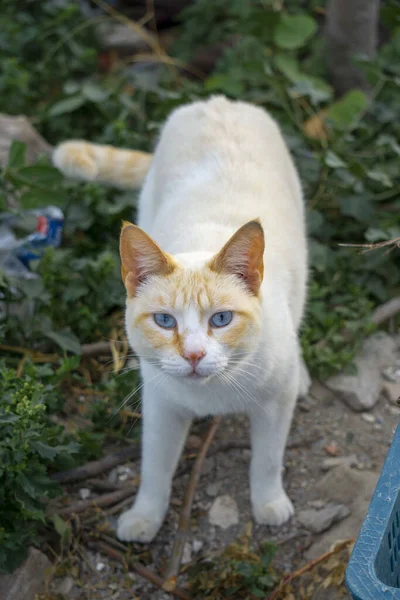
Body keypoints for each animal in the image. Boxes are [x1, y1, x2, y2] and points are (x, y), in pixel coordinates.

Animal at [53, 95, 310, 544]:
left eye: (221, 319)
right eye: (164, 321)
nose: (192, 355)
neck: (211, 393)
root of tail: (217, 100)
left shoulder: (275, 405)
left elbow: (266, 460)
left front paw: (269, 504)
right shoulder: (161, 409)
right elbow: (155, 470)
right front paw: (144, 518)